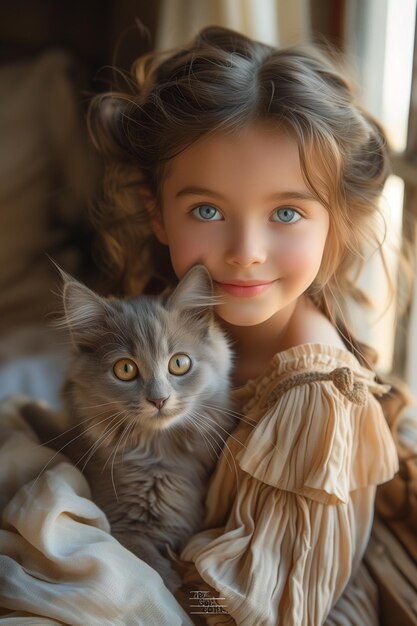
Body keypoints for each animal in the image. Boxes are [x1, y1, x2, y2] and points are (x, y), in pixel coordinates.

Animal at [22, 264, 234, 588]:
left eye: (179, 363)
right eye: (125, 369)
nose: (159, 399)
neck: (159, 452)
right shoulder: (122, 529)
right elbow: (160, 576)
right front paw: (175, 584)